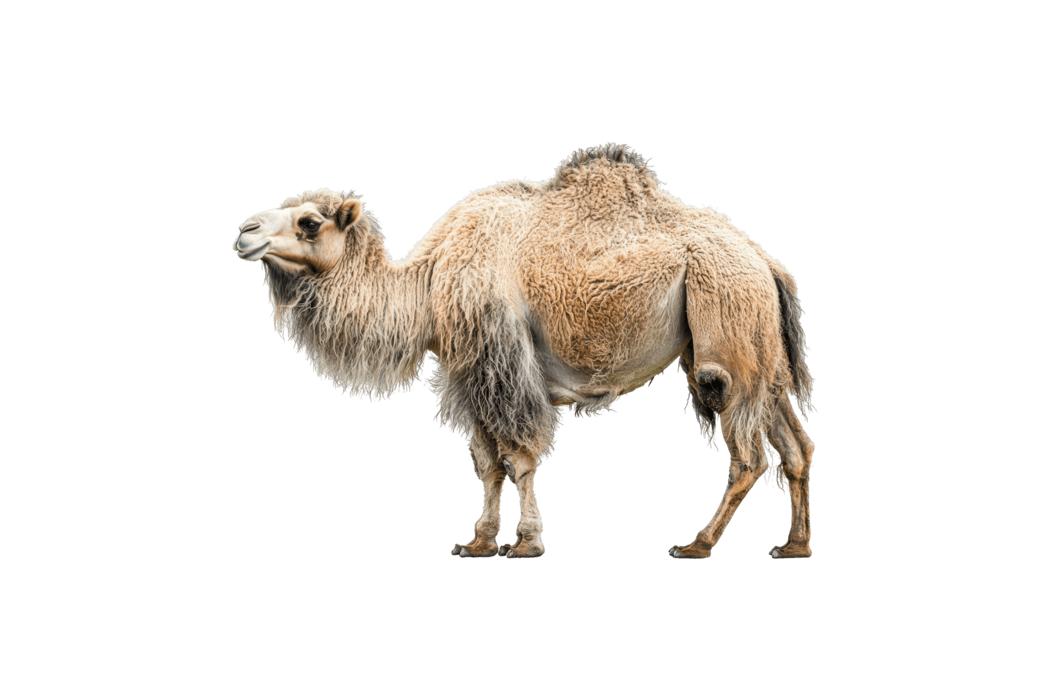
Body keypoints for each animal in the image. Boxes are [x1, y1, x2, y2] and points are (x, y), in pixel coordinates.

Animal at [231, 142, 817, 560]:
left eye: (310, 222)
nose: (243, 232)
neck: (429, 282)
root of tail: (767, 262)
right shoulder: (467, 372)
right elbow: (487, 463)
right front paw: (479, 542)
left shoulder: (504, 363)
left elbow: (519, 456)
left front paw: (527, 542)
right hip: (763, 354)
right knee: (795, 445)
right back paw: (794, 545)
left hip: (724, 333)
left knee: (746, 451)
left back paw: (697, 544)